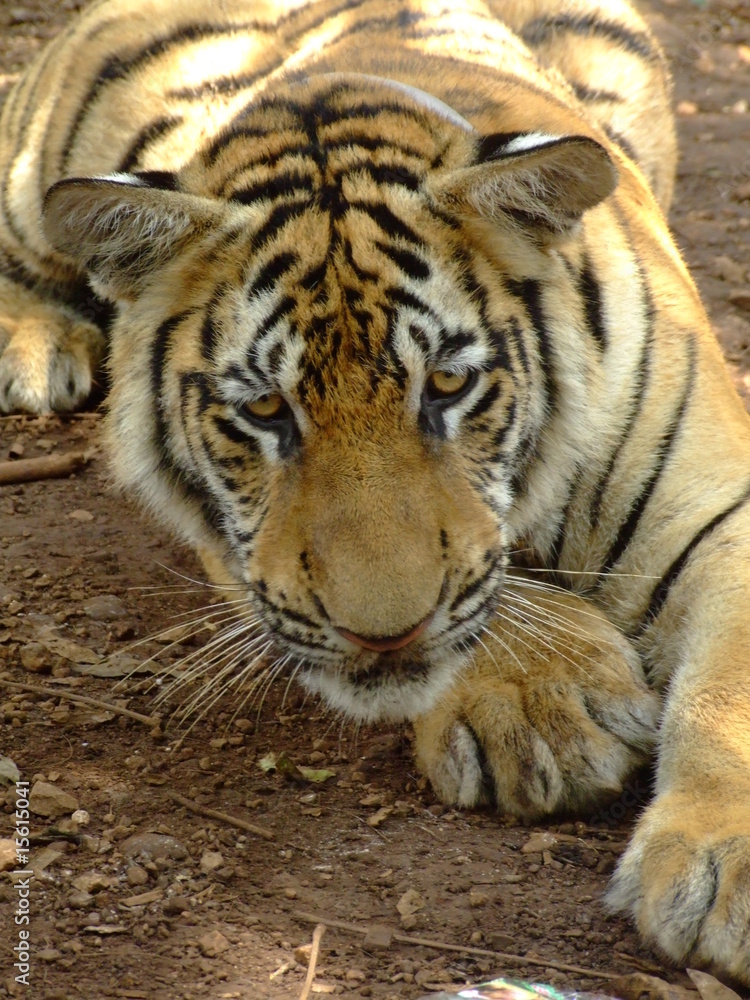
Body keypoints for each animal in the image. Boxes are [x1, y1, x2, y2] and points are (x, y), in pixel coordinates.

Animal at [2, 0, 750, 983]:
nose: (383, 633)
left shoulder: (718, 508)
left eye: (446, 385)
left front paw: (722, 876)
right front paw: (546, 713)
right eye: (267, 408)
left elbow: (729, 685)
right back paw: (34, 346)